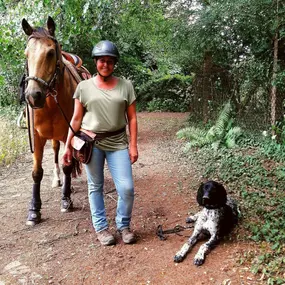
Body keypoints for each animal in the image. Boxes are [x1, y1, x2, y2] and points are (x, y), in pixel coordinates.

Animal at [21, 16, 89, 225]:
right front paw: (34, 210)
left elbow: (68, 165)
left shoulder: (68, 132)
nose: (33, 96)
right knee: (56, 150)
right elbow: (37, 172)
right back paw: (58, 180)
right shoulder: (37, 137)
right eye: (26, 54)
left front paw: (66, 200)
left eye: (51, 53)